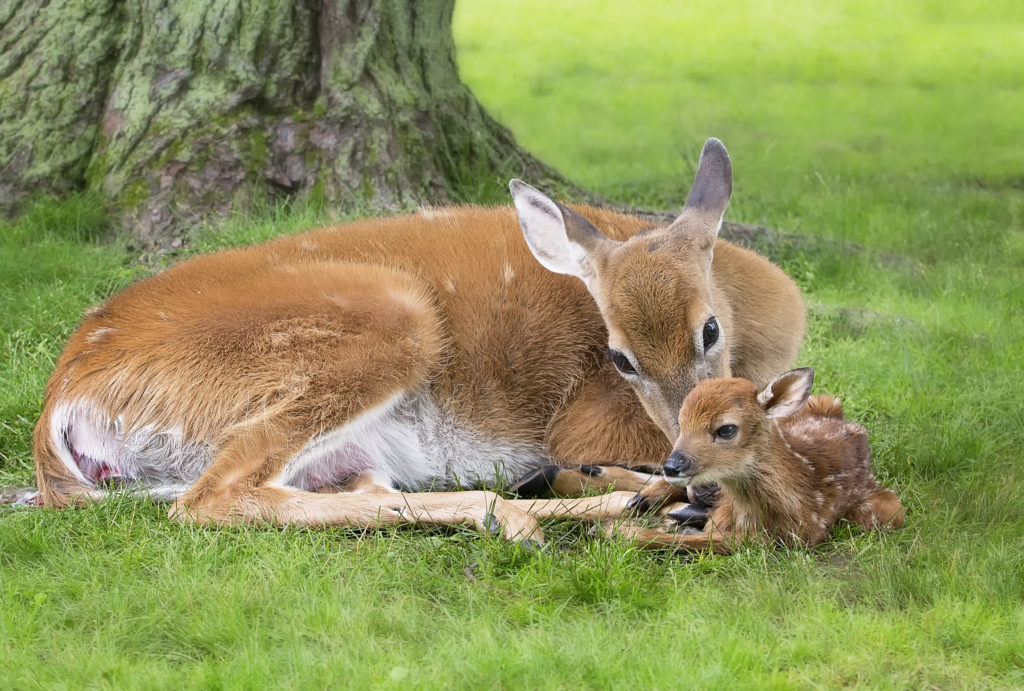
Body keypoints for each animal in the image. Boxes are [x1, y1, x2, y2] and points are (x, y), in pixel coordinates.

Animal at [32, 138, 802, 544]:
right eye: (619, 357)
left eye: (709, 329)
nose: (690, 467)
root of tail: (61, 398)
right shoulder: (586, 417)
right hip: (389, 325)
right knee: (212, 497)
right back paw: (556, 512)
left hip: (350, 443)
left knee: (351, 488)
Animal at [606, 370, 905, 552]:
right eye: (681, 422)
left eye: (726, 429)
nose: (673, 466)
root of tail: (857, 429)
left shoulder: (775, 539)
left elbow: (708, 541)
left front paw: (616, 531)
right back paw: (644, 498)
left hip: (887, 511)